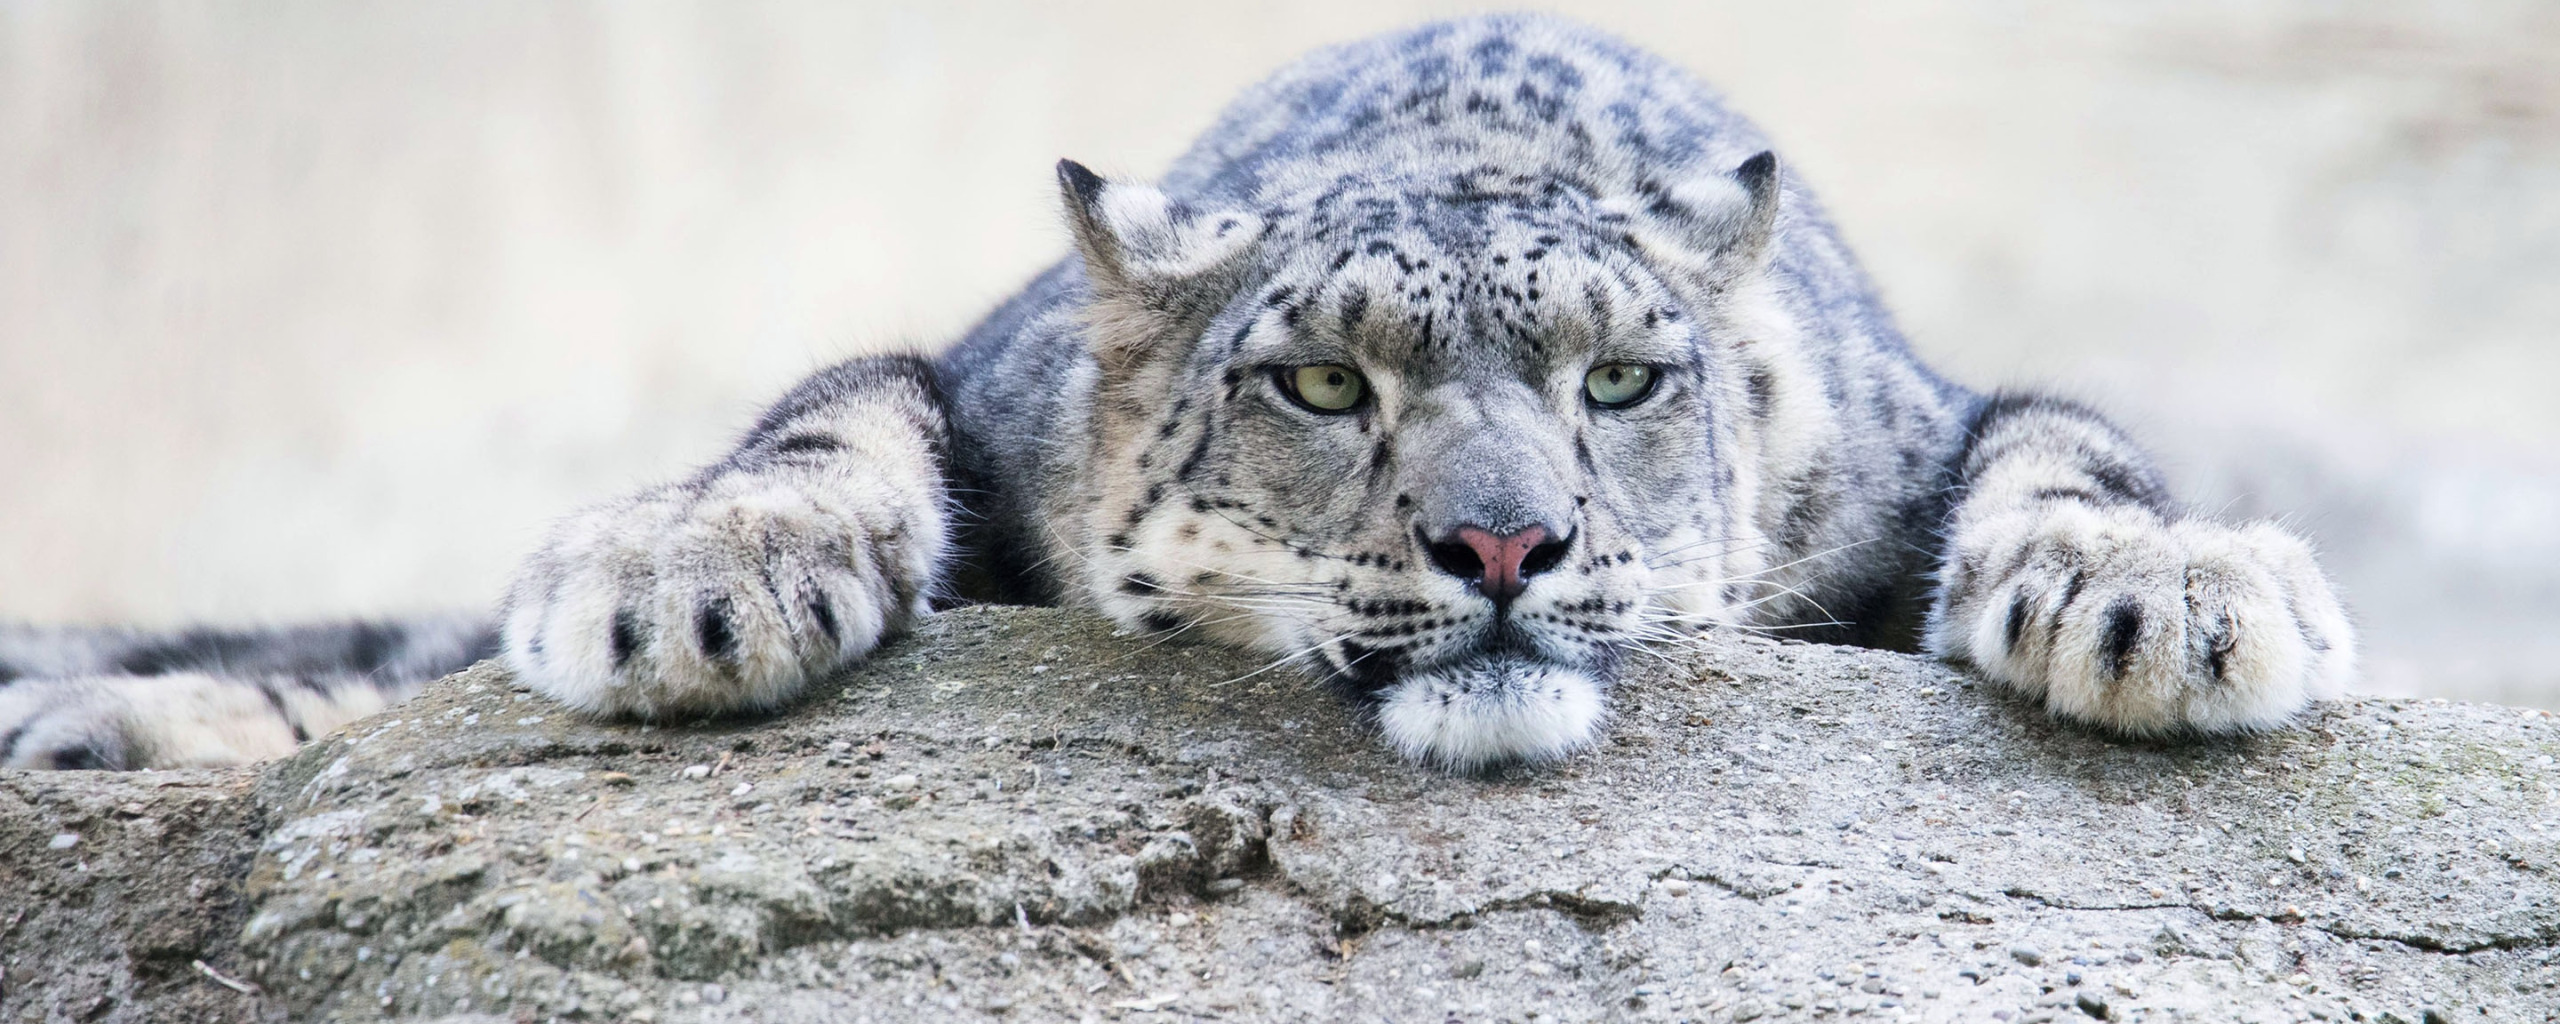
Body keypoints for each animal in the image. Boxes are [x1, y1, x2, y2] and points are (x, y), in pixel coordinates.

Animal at [5, 16, 2355, 773]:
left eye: (1621, 375)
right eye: (1317, 376)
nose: (1505, 540)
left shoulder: (1910, 438)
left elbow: (2068, 454)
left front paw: (2174, 606)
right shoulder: (970, 389)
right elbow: (837, 419)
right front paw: (697, 578)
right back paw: (105, 715)